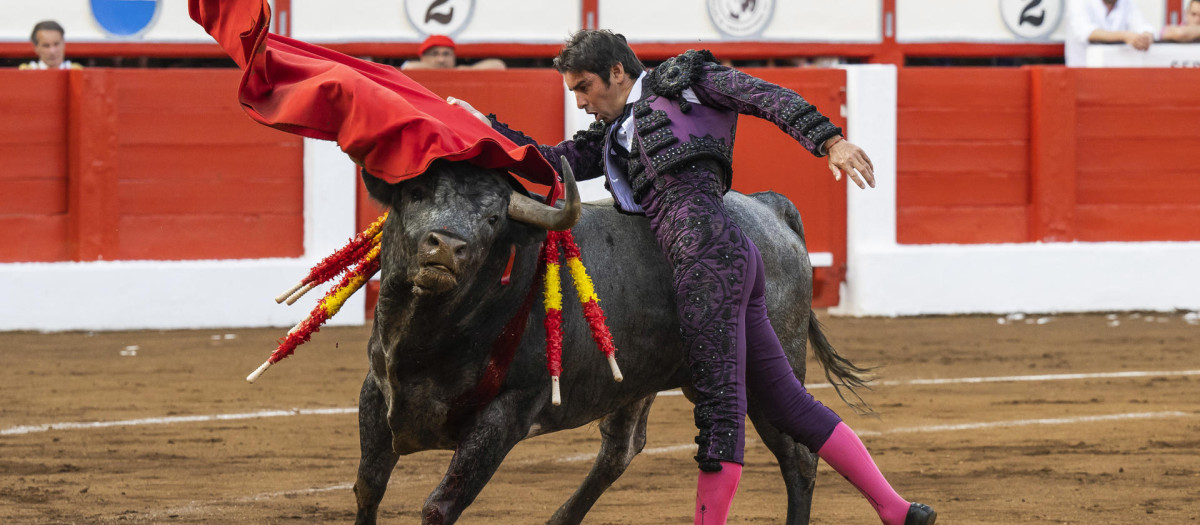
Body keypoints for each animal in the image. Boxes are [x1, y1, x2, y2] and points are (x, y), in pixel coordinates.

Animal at [350, 159, 868, 525]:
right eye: (416, 195)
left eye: (494, 217)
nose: (446, 246)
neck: (429, 336)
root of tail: (769, 208)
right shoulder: (376, 390)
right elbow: (369, 487)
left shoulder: (506, 413)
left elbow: (440, 505)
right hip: (639, 380)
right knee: (621, 450)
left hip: (764, 374)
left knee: (799, 456)